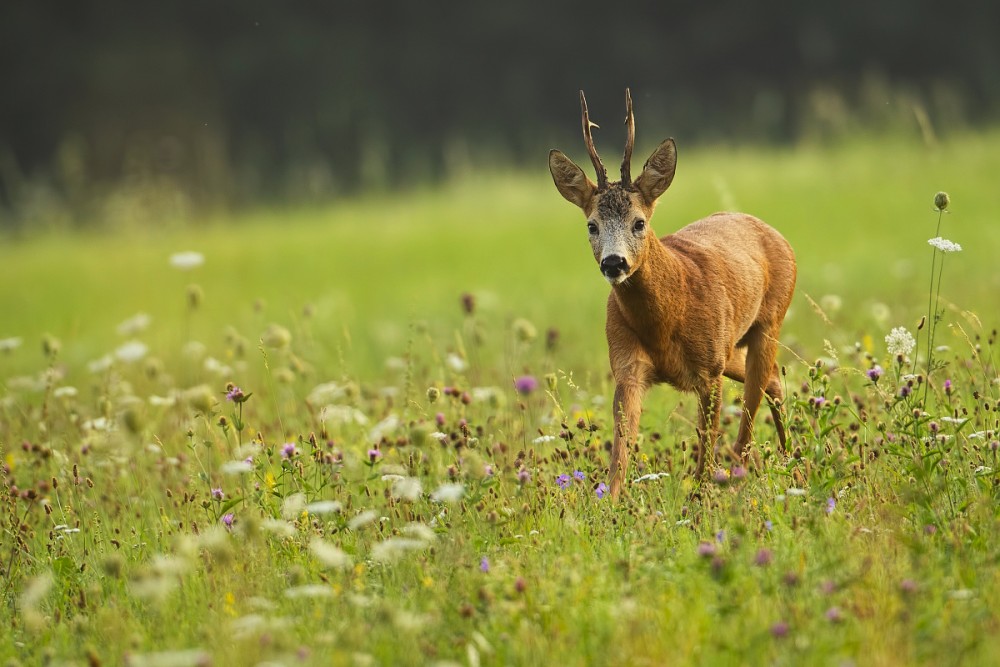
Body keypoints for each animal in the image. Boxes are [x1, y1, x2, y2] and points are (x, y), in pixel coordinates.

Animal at [548, 88, 796, 498]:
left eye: (639, 222)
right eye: (591, 225)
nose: (614, 263)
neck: (665, 322)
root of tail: (776, 234)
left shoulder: (709, 369)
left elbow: (706, 446)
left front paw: (701, 494)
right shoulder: (627, 364)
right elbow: (621, 448)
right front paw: (609, 501)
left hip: (769, 321)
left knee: (751, 407)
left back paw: (754, 470)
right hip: (731, 345)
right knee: (772, 379)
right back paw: (790, 459)